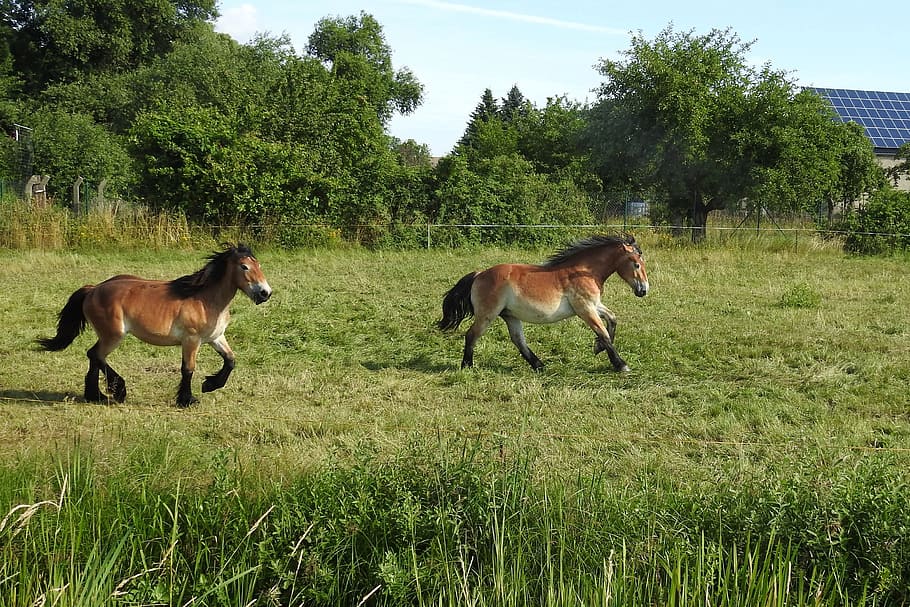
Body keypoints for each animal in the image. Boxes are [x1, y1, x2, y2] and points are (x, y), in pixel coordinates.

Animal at [37, 243, 272, 407]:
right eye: (244, 266)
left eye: (259, 265)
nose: (265, 293)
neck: (205, 299)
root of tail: (93, 289)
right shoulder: (191, 340)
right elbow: (188, 369)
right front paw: (187, 400)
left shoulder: (215, 338)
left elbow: (230, 360)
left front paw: (210, 385)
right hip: (114, 335)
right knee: (95, 354)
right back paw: (117, 390)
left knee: (94, 357)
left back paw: (96, 396)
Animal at [437, 234, 649, 371]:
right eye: (637, 264)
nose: (644, 290)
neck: (584, 271)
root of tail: (479, 274)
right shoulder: (585, 308)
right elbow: (603, 332)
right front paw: (621, 364)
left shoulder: (594, 304)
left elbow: (612, 319)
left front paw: (598, 348)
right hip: (487, 315)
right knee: (471, 335)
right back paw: (467, 366)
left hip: (509, 315)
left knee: (518, 340)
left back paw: (539, 365)